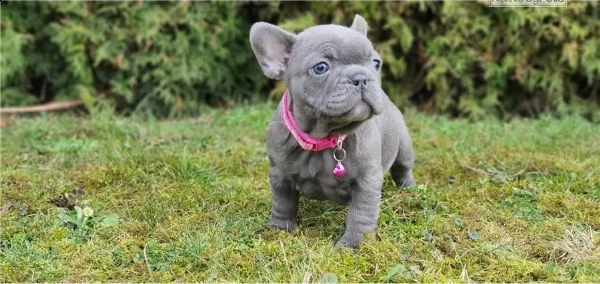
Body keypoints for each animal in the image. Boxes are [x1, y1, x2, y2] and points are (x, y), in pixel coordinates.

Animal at [247, 14, 412, 247]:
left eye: (376, 63)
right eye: (320, 68)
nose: (361, 77)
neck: (322, 136)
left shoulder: (367, 181)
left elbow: (361, 213)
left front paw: (354, 245)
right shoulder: (279, 174)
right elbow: (282, 202)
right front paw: (279, 229)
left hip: (404, 147)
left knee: (403, 168)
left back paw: (410, 189)